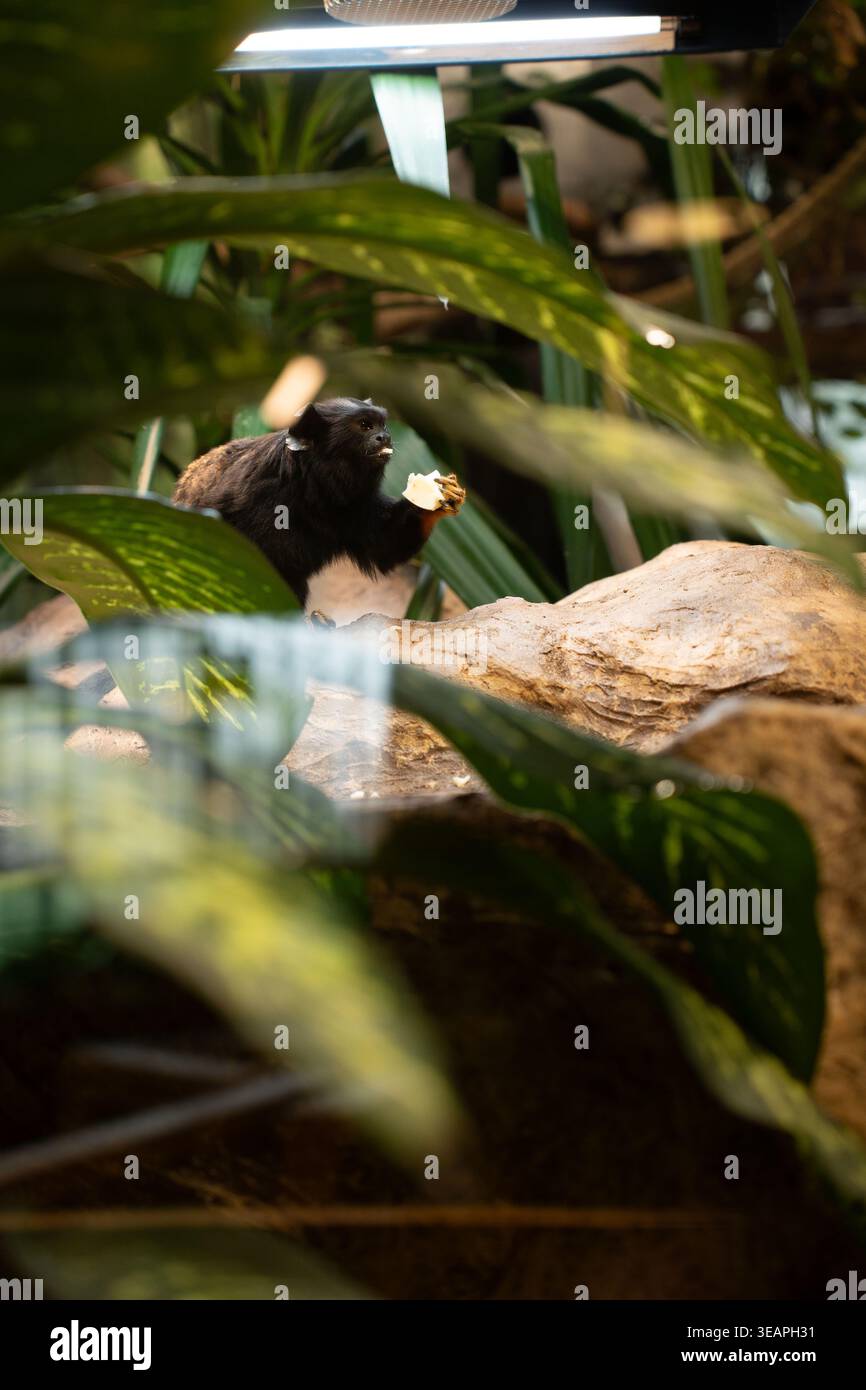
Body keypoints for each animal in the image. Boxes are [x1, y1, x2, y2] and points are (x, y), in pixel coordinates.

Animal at [172, 397, 466, 610]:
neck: (312, 486)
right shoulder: (252, 487)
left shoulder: (355, 506)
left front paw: (435, 499)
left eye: (383, 425)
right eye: (365, 425)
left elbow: (384, 545)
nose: (385, 437)